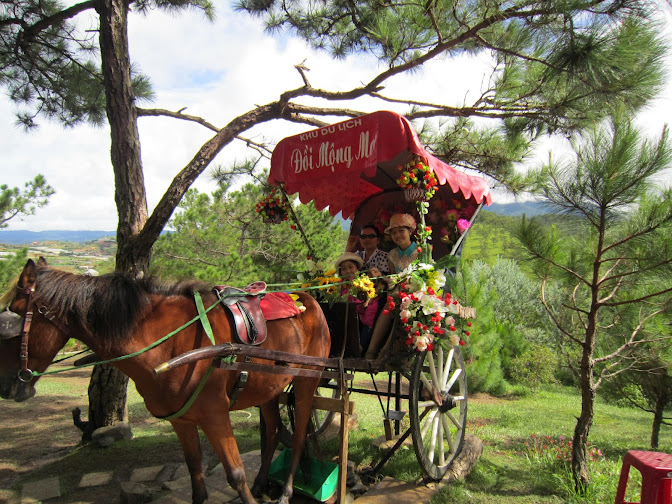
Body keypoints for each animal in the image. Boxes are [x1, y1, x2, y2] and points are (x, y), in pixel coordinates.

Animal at [0, 260, 330, 504]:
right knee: (273, 432)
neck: (167, 341)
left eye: (9, 321)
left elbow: (236, 474)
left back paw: (286, 491)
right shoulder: (181, 420)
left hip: (306, 383)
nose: (7, 386)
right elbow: (195, 472)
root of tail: (308, 298)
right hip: (268, 390)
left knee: (298, 436)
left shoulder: (215, 415)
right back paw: (263, 483)